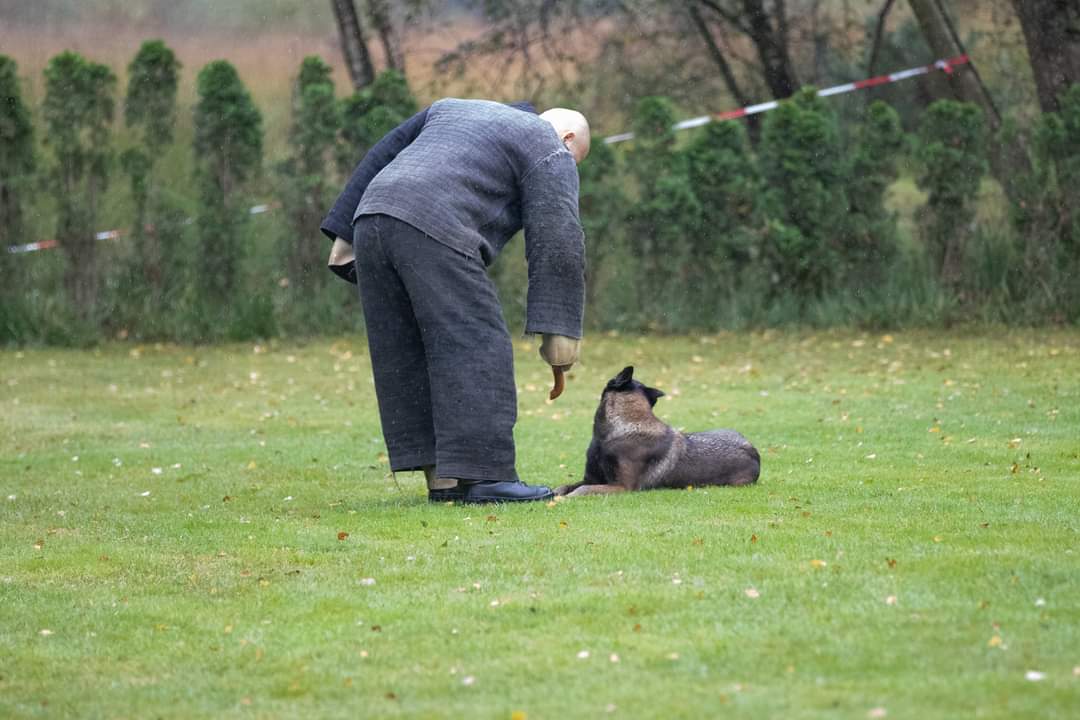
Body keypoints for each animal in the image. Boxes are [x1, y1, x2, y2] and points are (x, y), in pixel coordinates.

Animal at [555, 366, 760, 497]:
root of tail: (754, 451)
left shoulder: (622, 487)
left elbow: (583, 490)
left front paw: (566, 498)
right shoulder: (591, 478)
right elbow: (564, 486)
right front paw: (555, 493)